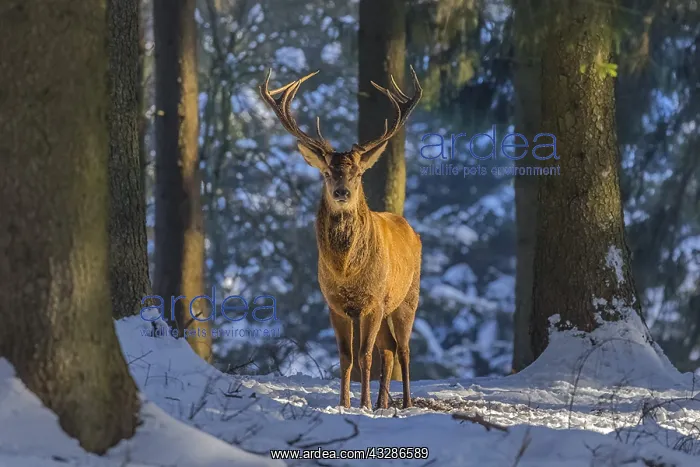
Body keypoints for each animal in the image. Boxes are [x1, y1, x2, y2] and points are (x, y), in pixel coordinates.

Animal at [259, 67, 422, 410]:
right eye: (326, 173)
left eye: (358, 173)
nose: (342, 192)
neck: (347, 272)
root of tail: (411, 229)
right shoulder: (334, 304)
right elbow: (347, 357)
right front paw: (346, 403)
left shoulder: (372, 300)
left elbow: (364, 356)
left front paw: (362, 405)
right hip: (387, 307)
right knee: (389, 349)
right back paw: (383, 403)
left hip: (407, 297)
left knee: (403, 349)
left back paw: (405, 403)